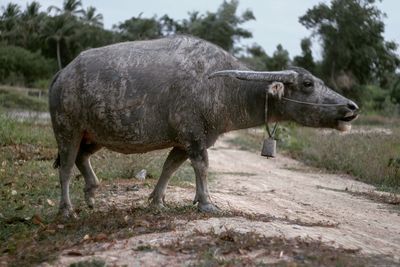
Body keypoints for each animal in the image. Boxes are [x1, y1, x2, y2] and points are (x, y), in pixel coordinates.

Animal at [49, 35, 360, 219]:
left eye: (319, 81)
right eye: (307, 84)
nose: (351, 107)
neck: (223, 88)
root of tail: (62, 74)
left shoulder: (183, 141)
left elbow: (169, 168)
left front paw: (157, 201)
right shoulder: (194, 137)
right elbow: (202, 166)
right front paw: (206, 202)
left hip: (94, 134)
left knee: (82, 157)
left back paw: (91, 193)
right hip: (67, 130)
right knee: (66, 166)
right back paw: (67, 209)